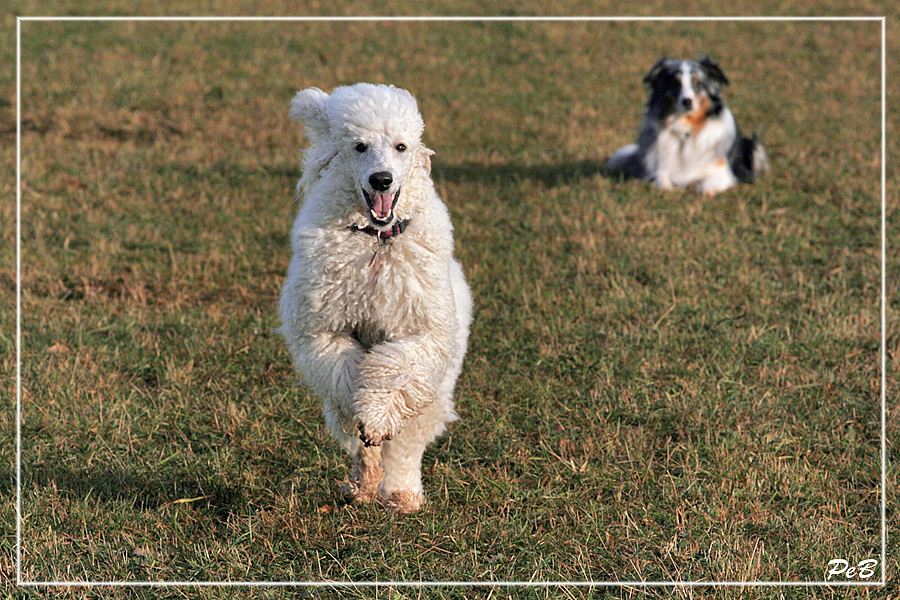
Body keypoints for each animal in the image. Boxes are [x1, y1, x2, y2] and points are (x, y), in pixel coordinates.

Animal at [276, 83, 472, 516]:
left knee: (406, 444)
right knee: (360, 441)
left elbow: (393, 370)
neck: (377, 241)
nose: (381, 180)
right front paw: (366, 415)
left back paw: (400, 493)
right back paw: (363, 483)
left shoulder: (422, 334)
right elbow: (350, 377)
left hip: (436, 390)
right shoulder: (324, 332)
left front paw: (378, 416)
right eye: (359, 146)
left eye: (401, 146)